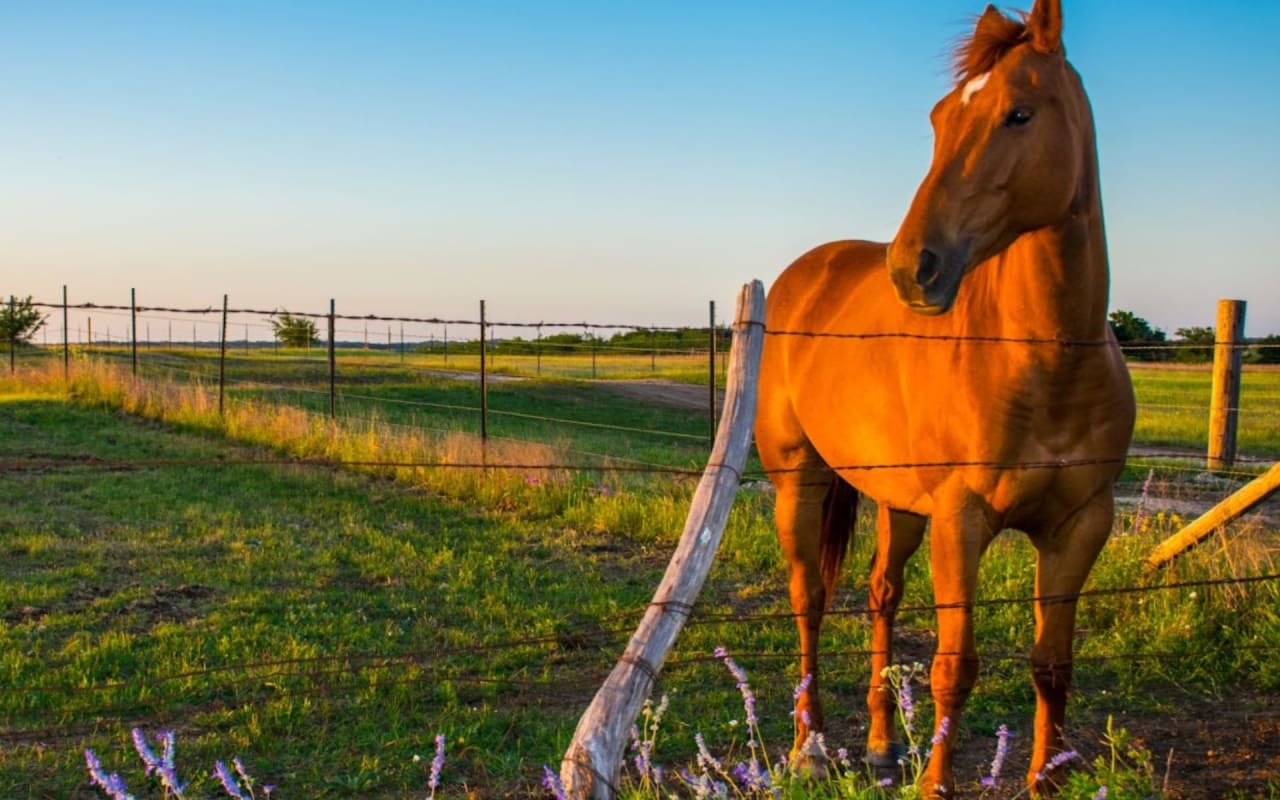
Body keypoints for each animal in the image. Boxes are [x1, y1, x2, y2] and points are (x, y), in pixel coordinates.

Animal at [752, 1, 1136, 793]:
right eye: (938, 120)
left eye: (1019, 113)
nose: (912, 268)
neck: (1044, 359)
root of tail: (810, 270)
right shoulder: (964, 520)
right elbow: (954, 666)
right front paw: (937, 783)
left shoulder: (1081, 524)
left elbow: (1052, 664)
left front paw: (1046, 779)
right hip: (799, 480)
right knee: (809, 601)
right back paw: (811, 747)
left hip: (898, 502)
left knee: (880, 597)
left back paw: (878, 746)